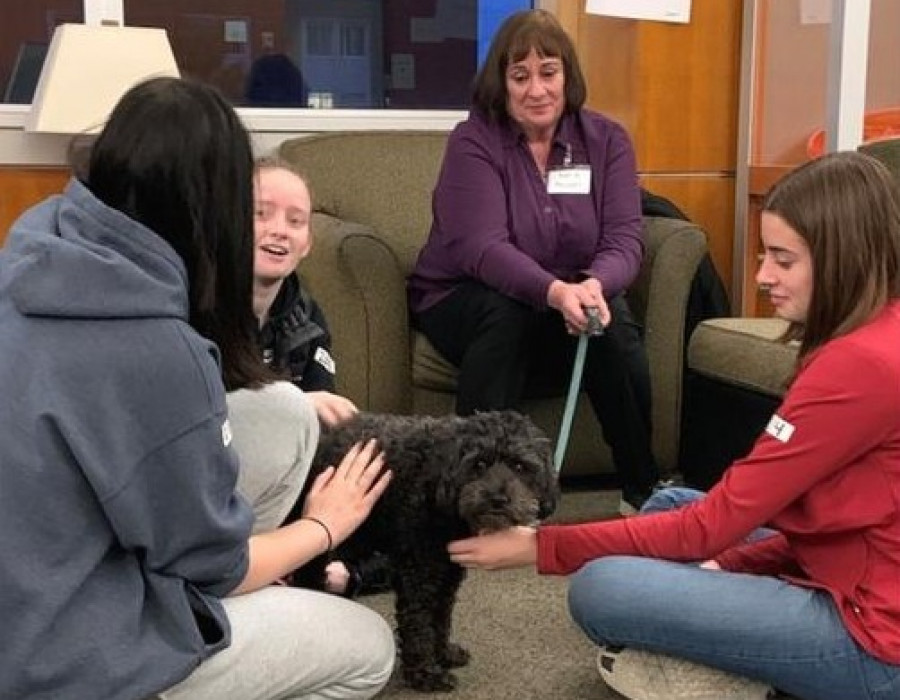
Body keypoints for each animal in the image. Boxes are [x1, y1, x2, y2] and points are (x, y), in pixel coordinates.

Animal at [290, 408, 556, 692]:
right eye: (479, 464)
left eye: (520, 466)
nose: (498, 499)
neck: (437, 479)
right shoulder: (419, 572)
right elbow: (418, 623)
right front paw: (426, 675)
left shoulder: (447, 572)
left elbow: (441, 617)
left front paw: (444, 654)